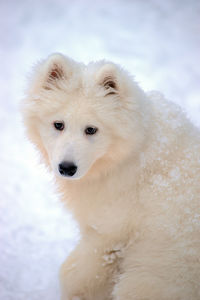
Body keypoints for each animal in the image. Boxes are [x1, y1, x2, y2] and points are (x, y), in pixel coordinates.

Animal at [22, 54, 200, 300]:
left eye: (91, 129)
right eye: (58, 124)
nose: (66, 168)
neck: (133, 155)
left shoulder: (109, 231)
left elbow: (75, 273)